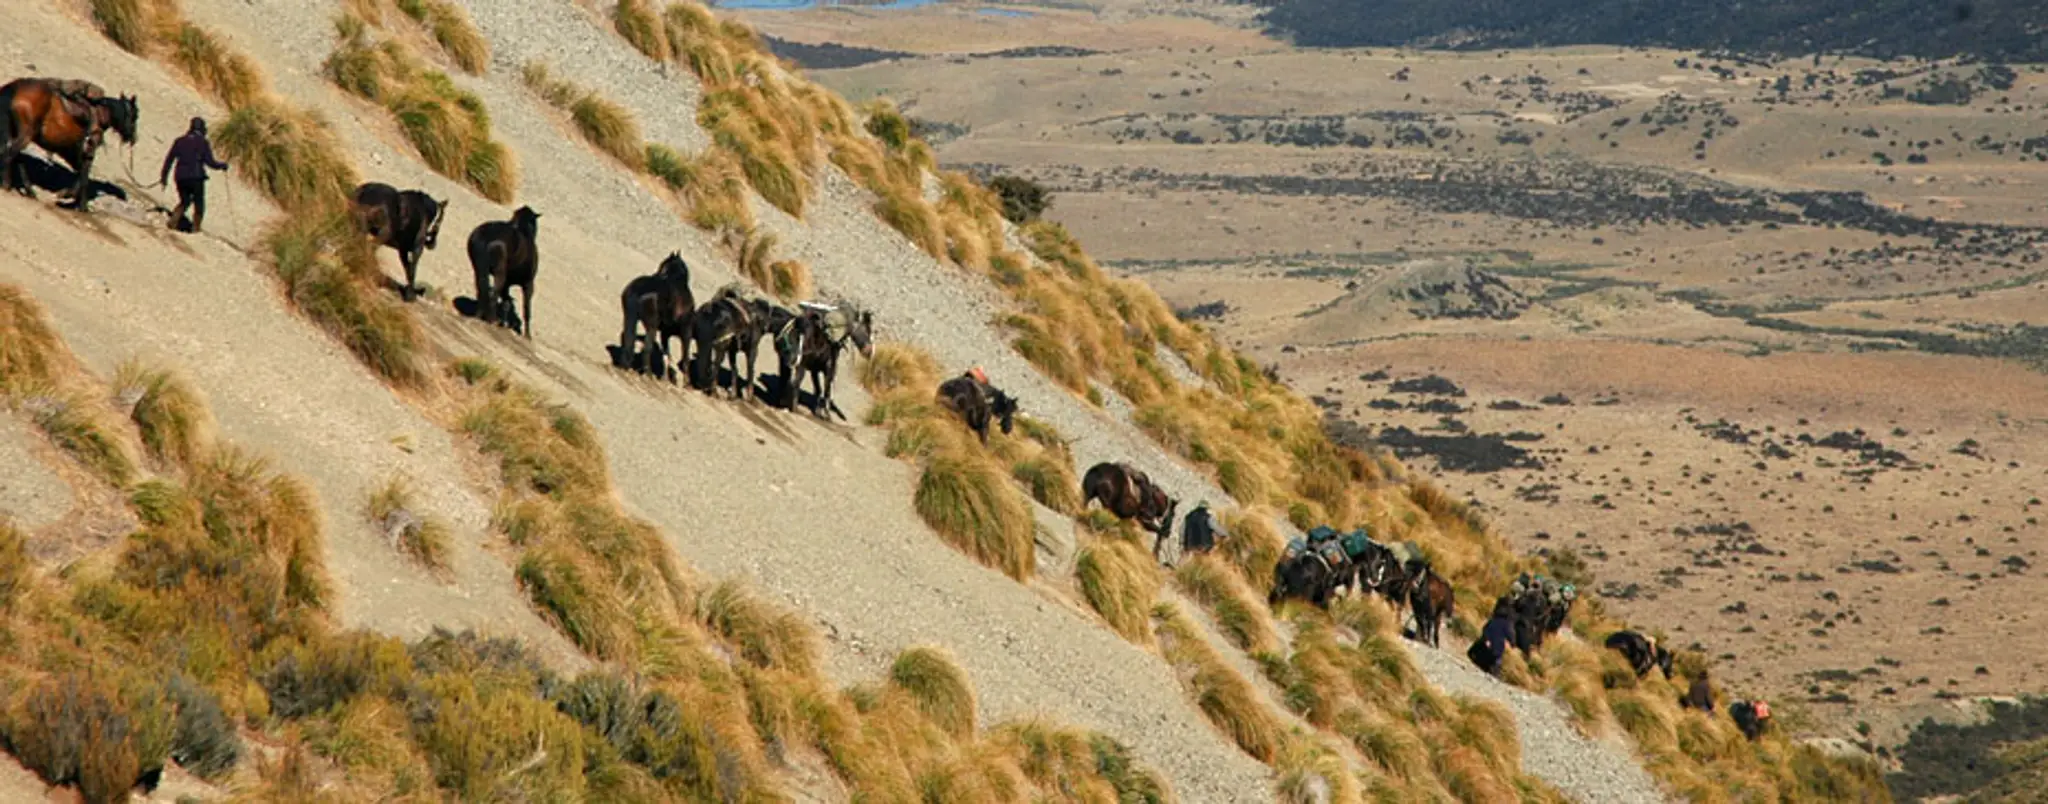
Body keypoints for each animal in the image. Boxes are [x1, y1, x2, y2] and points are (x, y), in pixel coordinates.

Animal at [0, 79, 139, 211]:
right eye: (135, 116)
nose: (133, 138)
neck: (100, 115)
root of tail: (16, 87)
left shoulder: (71, 152)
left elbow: (81, 173)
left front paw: (78, 203)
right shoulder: (88, 151)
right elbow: (84, 177)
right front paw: (72, 199)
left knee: (17, 158)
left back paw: (29, 191)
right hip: (26, 135)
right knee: (10, 155)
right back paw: (7, 185)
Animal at [466, 206, 540, 337]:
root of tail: (485, 238)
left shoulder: (507, 284)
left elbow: (506, 303)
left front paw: (503, 325)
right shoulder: (528, 284)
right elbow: (526, 308)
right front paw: (527, 336)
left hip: (480, 270)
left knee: (482, 290)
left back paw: (479, 316)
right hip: (499, 274)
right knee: (492, 294)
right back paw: (492, 320)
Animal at [617, 252, 695, 382]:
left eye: (662, 264)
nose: (657, 273)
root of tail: (639, 290)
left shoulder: (665, 334)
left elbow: (667, 355)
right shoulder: (685, 332)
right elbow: (685, 357)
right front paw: (685, 381)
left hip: (630, 318)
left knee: (629, 340)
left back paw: (625, 366)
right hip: (652, 326)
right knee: (647, 349)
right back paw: (648, 374)